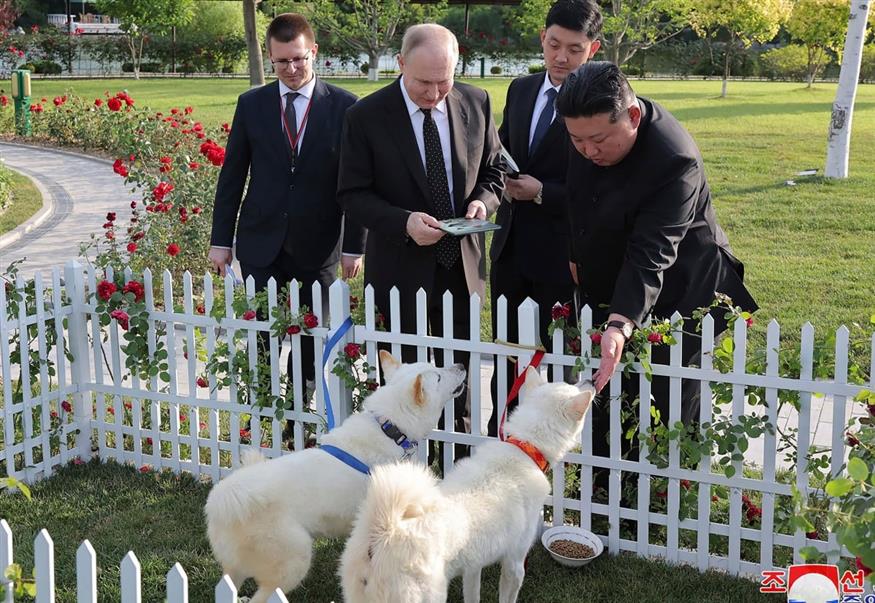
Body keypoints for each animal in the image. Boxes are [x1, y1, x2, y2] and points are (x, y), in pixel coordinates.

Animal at [340, 368, 596, 603]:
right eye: (573, 387)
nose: (592, 380)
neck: (524, 447)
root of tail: (385, 530)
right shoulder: (514, 563)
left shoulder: (474, 565)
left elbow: (472, 594)